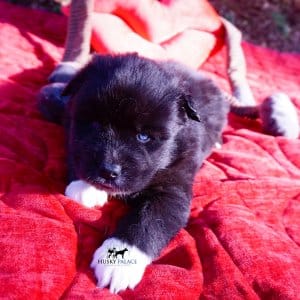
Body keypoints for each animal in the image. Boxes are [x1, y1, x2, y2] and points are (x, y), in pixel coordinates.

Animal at [55, 52, 227, 292]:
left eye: (144, 136)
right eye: (95, 124)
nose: (108, 170)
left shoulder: (172, 188)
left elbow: (150, 220)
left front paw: (117, 264)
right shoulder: (71, 125)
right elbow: (75, 148)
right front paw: (84, 187)